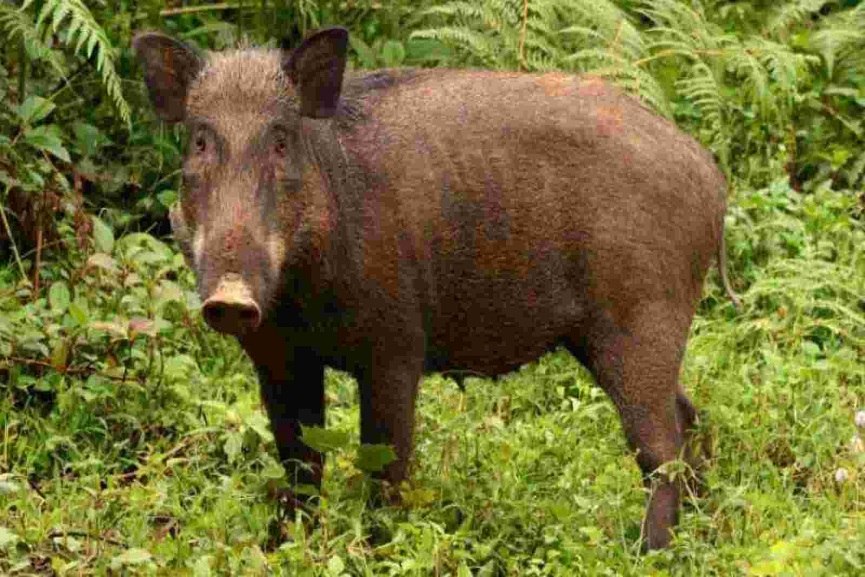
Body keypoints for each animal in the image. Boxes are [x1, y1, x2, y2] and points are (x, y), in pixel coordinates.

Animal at [133, 27, 739, 550]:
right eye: (199, 141)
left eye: (281, 140)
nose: (231, 297)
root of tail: (710, 174)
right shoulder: (277, 357)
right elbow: (299, 462)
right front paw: (282, 546)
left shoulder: (396, 348)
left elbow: (385, 464)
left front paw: (375, 549)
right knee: (688, 418)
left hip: (640, 321)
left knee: (661, 447)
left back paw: (647, 551)